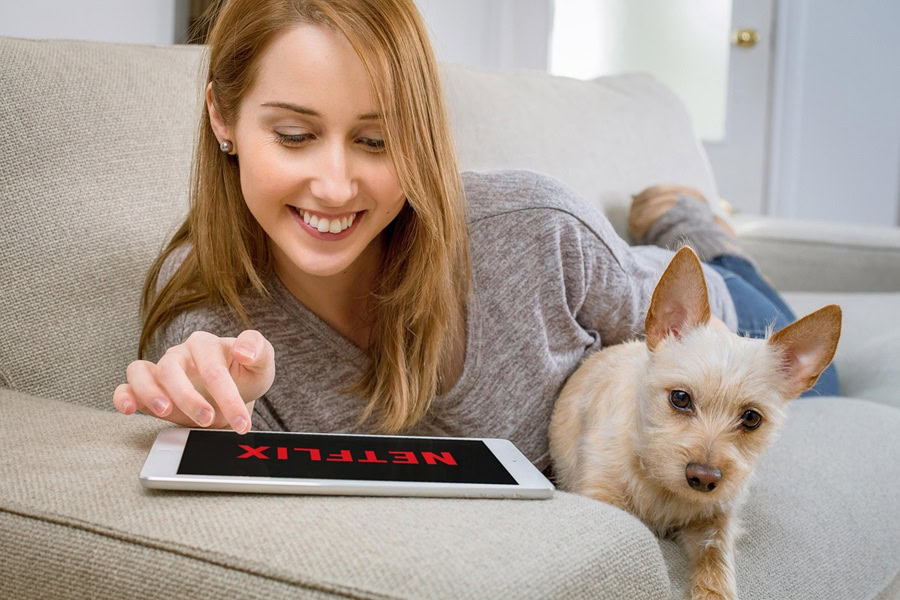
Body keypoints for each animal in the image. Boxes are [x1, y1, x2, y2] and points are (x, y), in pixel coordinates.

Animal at [548, 246, 844, 596]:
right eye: (680, 398)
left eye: (751, 418)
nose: (704, 478)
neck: (661, 485)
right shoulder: (601, 493)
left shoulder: (718, 519)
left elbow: (715, 561)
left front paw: (714, 591)